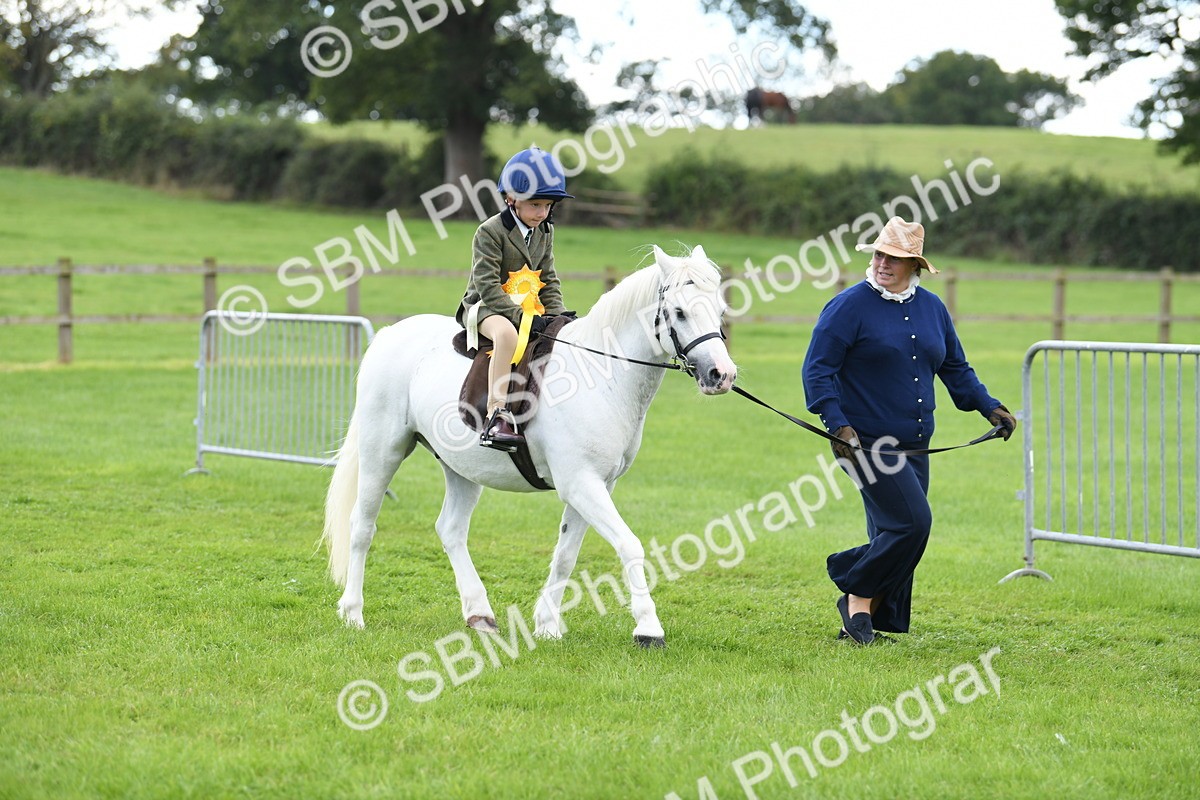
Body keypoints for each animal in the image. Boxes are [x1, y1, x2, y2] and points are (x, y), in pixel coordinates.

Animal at [321, 245, 737, 646]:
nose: (722, 375)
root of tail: (390, 334)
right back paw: (353, 613)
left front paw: (547, 625)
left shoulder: (597, 485)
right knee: (362, 526)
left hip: (461, 467)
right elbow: (629, 545)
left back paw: (480, 615)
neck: (601, 375)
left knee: (451, 530)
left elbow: (566, 555)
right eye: (679, 312)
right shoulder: (581, 483)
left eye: (719, 310)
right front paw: (648, 629)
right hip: (383, 450)